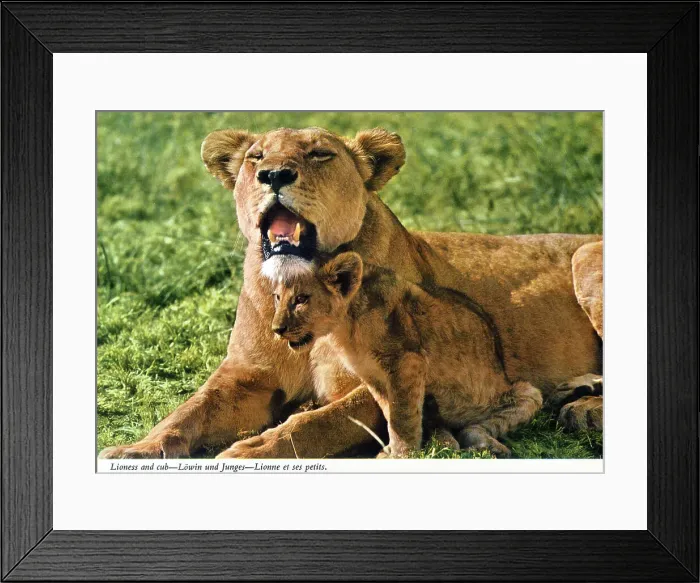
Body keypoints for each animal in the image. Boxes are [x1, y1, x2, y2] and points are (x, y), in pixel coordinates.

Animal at [267, 251, 543, 458]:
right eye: (278, 298)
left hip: (527, 392)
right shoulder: (373, 376)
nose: (276, 329)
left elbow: (402, 416)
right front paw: (392, 449)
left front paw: (402, 454)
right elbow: (389, 412)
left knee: (473, 428)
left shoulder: (407, 362)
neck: (345, 331)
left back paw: (488, 446)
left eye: (302, 299)